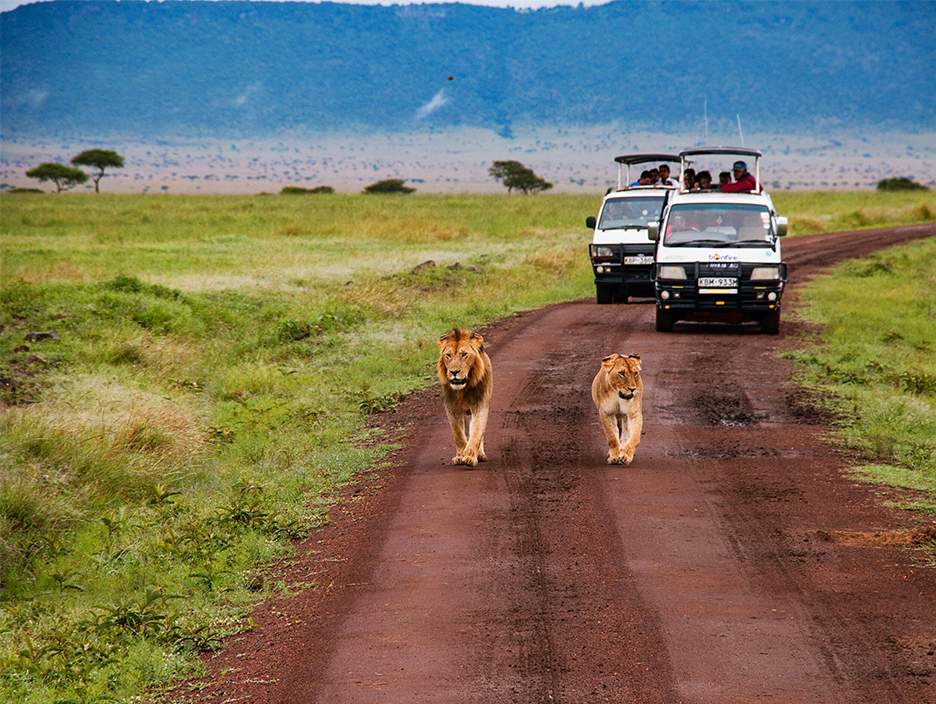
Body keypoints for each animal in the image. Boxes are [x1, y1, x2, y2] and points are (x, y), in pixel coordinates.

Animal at [438, 330, 498, 468]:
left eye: (464, 354)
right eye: (448, 355)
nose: (454, 372)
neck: (462, 390)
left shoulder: (480, 406)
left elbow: (476, 433)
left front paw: (470, 457)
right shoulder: (452, 408)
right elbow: (459, 435)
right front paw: (460, 456)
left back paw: (480, 454)